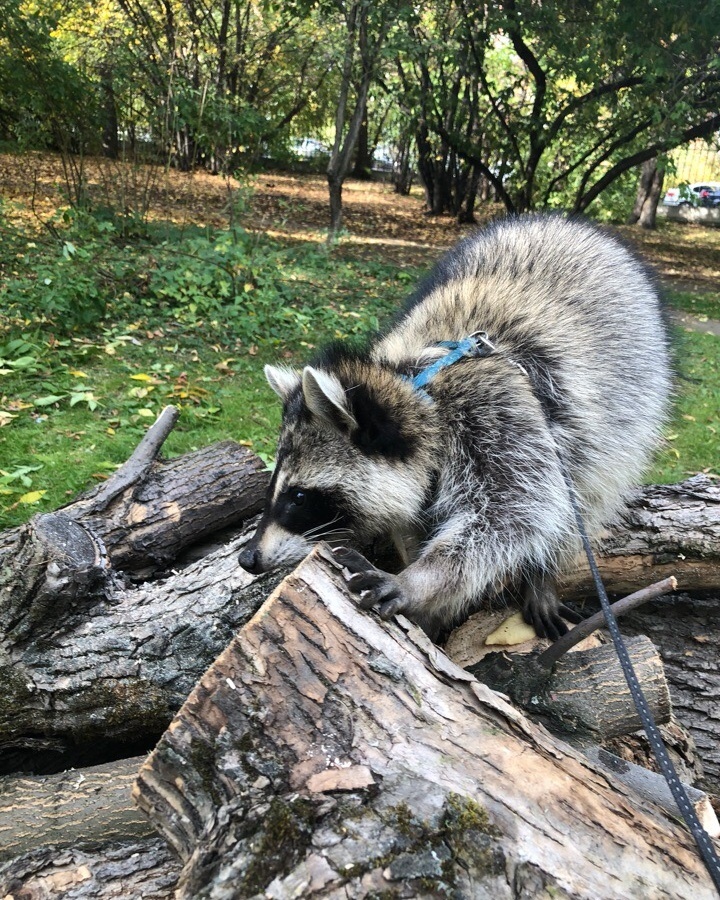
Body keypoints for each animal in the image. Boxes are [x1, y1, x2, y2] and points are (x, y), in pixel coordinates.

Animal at [239, 216, 672, 640]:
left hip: (627, 408)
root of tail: (569, 223)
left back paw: (543, 571)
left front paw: (422, 581)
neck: (419, 389)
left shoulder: (501, 417)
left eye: (298, 497)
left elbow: (509, 516)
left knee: (586, 491)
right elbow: (415, 522)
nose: (247, 558)